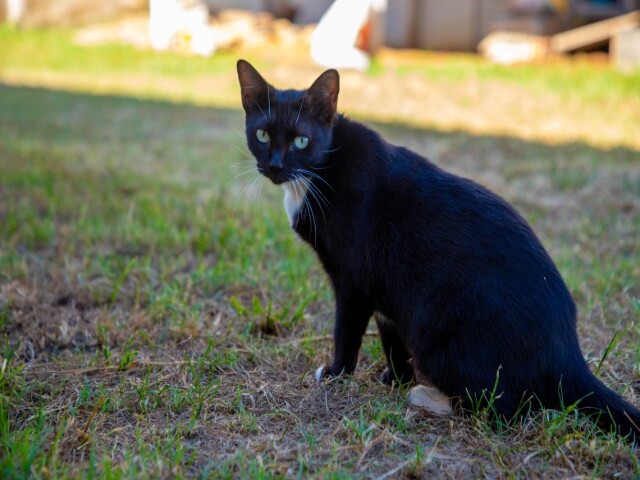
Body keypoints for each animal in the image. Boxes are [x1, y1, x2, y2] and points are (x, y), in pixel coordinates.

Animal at [236, 58, 640, 440]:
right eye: (262, 134)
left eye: (301, 141)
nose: (275, 165)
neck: (318, 173)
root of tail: (567, 354)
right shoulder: (385, 290)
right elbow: (391, 338)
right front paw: (395, 379)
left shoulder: (353, 281)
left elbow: (346, 333)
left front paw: (337, 375)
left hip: (438, 334)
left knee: (506, 410)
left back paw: (430, 398)